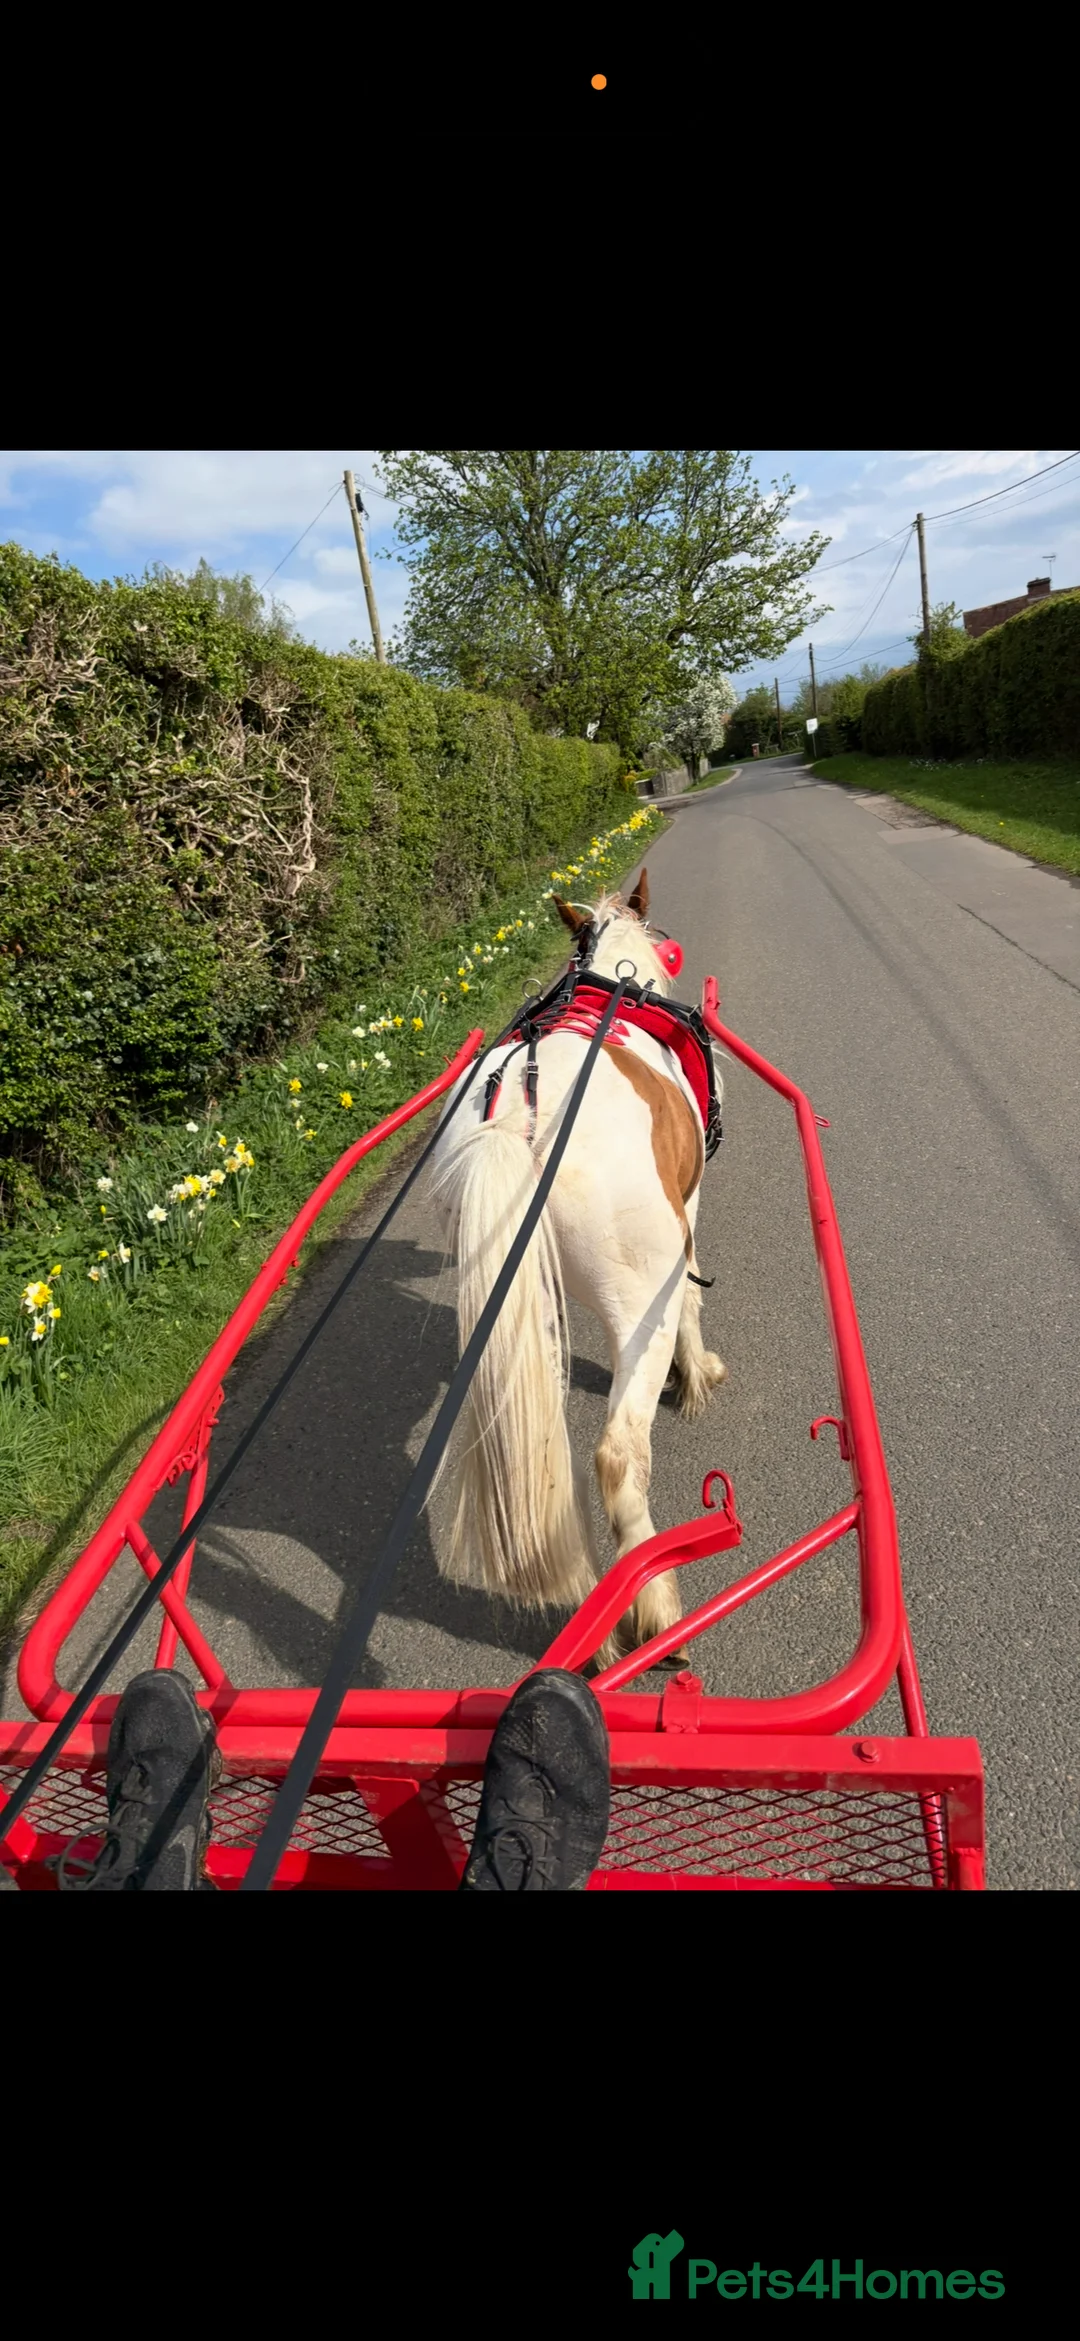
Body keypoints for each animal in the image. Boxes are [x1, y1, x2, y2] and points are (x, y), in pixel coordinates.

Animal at [429, 867, 727, 1669]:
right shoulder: (686, 1221)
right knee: (617, 1455)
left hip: (519, 1306)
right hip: (635, 1301)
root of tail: (514, 1120)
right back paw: (653, 1606)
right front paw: (698, 1373)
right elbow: (693, 1303)